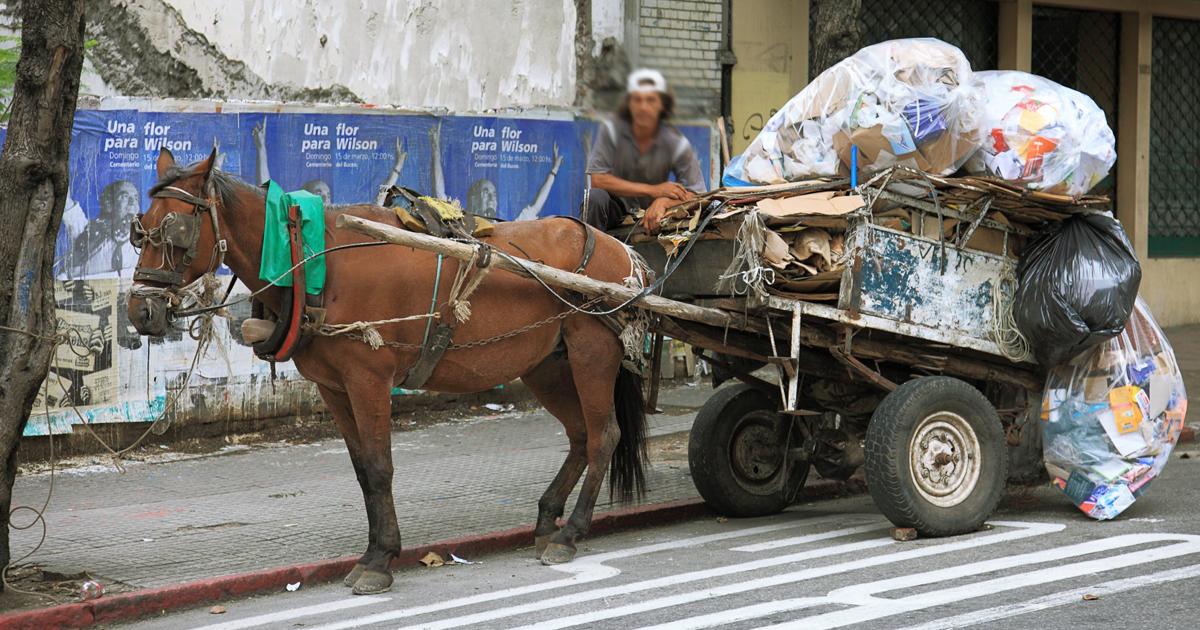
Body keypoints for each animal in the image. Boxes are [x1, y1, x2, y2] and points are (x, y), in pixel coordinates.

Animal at [126, 147, 648, 595]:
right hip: (546, 365)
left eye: (174, 229)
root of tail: (619, 249)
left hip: (591, 352)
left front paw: (380, 560)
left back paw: (570, 532)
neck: (309, 257)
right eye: (139, 230)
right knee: (581, 435)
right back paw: (546, 520)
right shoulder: (334, 388)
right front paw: (375, 549)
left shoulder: (368, 380)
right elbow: (362, 471)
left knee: (604, 436)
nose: (140, 311)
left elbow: (380, 468)